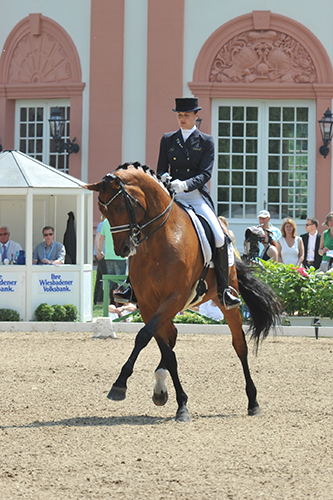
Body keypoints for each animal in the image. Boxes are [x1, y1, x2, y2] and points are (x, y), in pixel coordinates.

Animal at [86, 164, 280, 422]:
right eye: (102, 210)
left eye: (120, 207)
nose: (123, 249)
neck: (158, 240)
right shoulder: (148, 304)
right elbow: (163, 348)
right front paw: (177, 400)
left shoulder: (174, 298)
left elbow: (145, 337)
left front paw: (120, 384)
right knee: (172, 334)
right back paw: (160, 387)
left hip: (225, 300)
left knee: (240, 345)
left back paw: (253, 401)